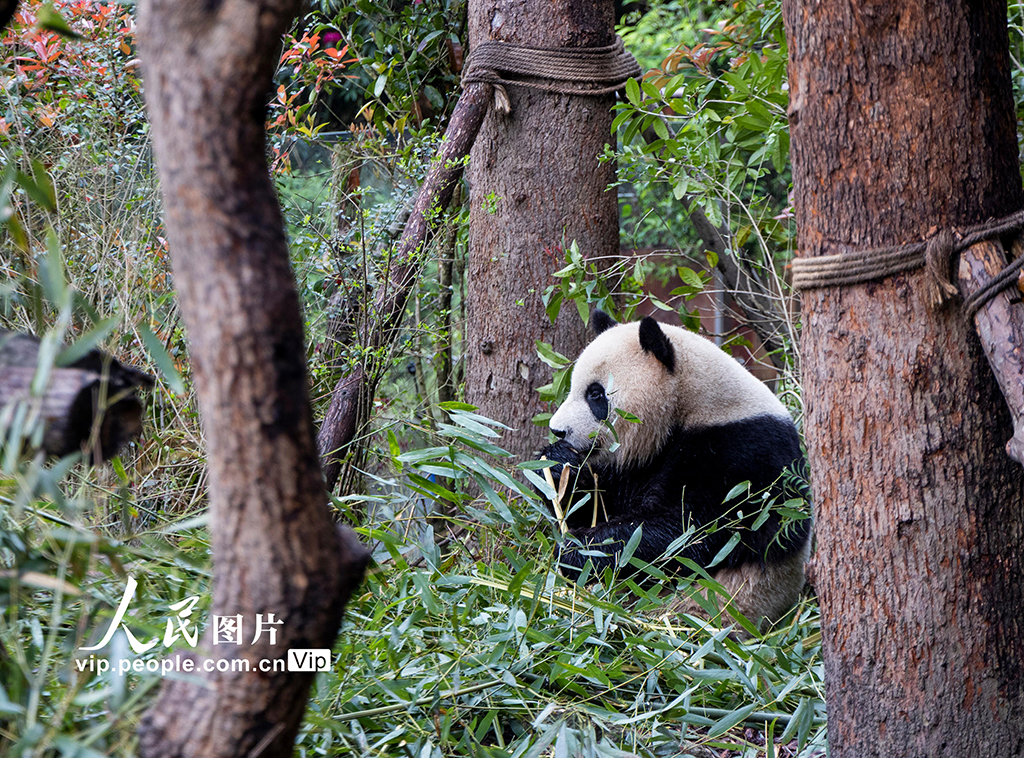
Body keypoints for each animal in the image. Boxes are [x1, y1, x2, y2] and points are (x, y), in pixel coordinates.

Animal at [540, 309, 811, 626]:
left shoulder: (741, 455)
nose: (557, 430)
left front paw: (576, 549)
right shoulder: (640, 461)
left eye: (595, 394)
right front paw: (556, 465)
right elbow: (599, 504)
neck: (693, 401)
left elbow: (682, 532)